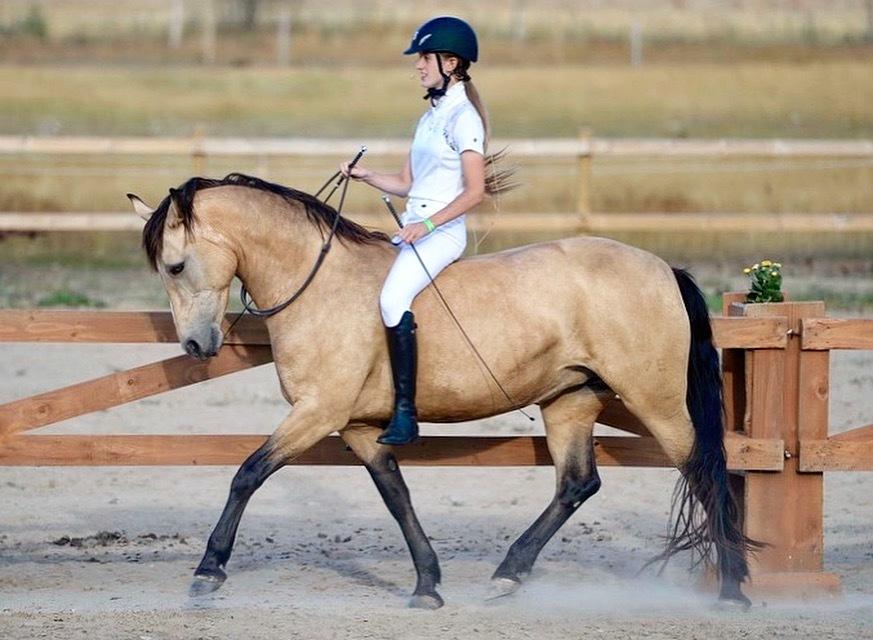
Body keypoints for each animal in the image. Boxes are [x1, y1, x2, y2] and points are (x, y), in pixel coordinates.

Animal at [126, 172, 752, 608]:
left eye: (176, 266)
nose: (196, 346)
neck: (319, 284)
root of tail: (662, 268)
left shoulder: (317, 412)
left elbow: (248, 473)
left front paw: (208, 570)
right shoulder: (358, 427)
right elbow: (397, 497)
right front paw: (427, 582)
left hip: (657, 404)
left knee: (702, 472)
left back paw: (733, 591)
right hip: (570, 401)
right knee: (577, 484)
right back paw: (508, 574)